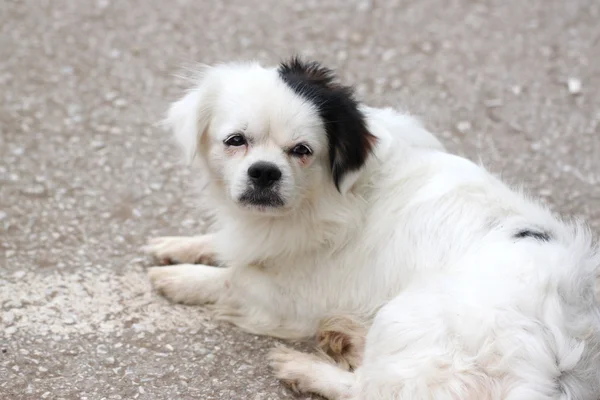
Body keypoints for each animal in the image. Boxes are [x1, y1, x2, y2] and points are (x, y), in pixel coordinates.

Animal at [145, 57, 600, 398]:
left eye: (302, 151)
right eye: (235, 141)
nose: (264, 172)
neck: (326, 196)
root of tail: (560, 355)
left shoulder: (295, 297)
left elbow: (233, 278)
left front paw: (180, 278)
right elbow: (223, 246)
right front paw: (175, 245)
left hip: (407, 313)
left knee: (370, 389)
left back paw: (304, 367)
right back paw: (346, 335)